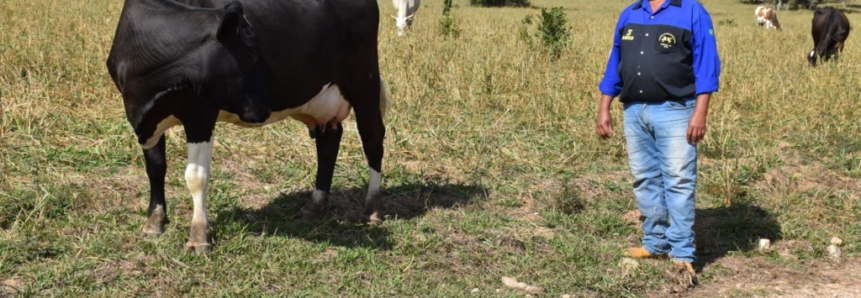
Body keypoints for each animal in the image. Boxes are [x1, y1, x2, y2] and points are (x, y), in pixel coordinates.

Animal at [106, 0, 392, 253]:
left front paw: (199, 236)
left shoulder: (201, 113)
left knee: (372, 139)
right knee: (329, 141)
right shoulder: (143, 118)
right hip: (321, 97)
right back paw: (315, 205)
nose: (263, 110)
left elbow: (196, 176)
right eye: (253, 53)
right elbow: (156, 167)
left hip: (363, 80)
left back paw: (372, 209)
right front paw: (154, 222)